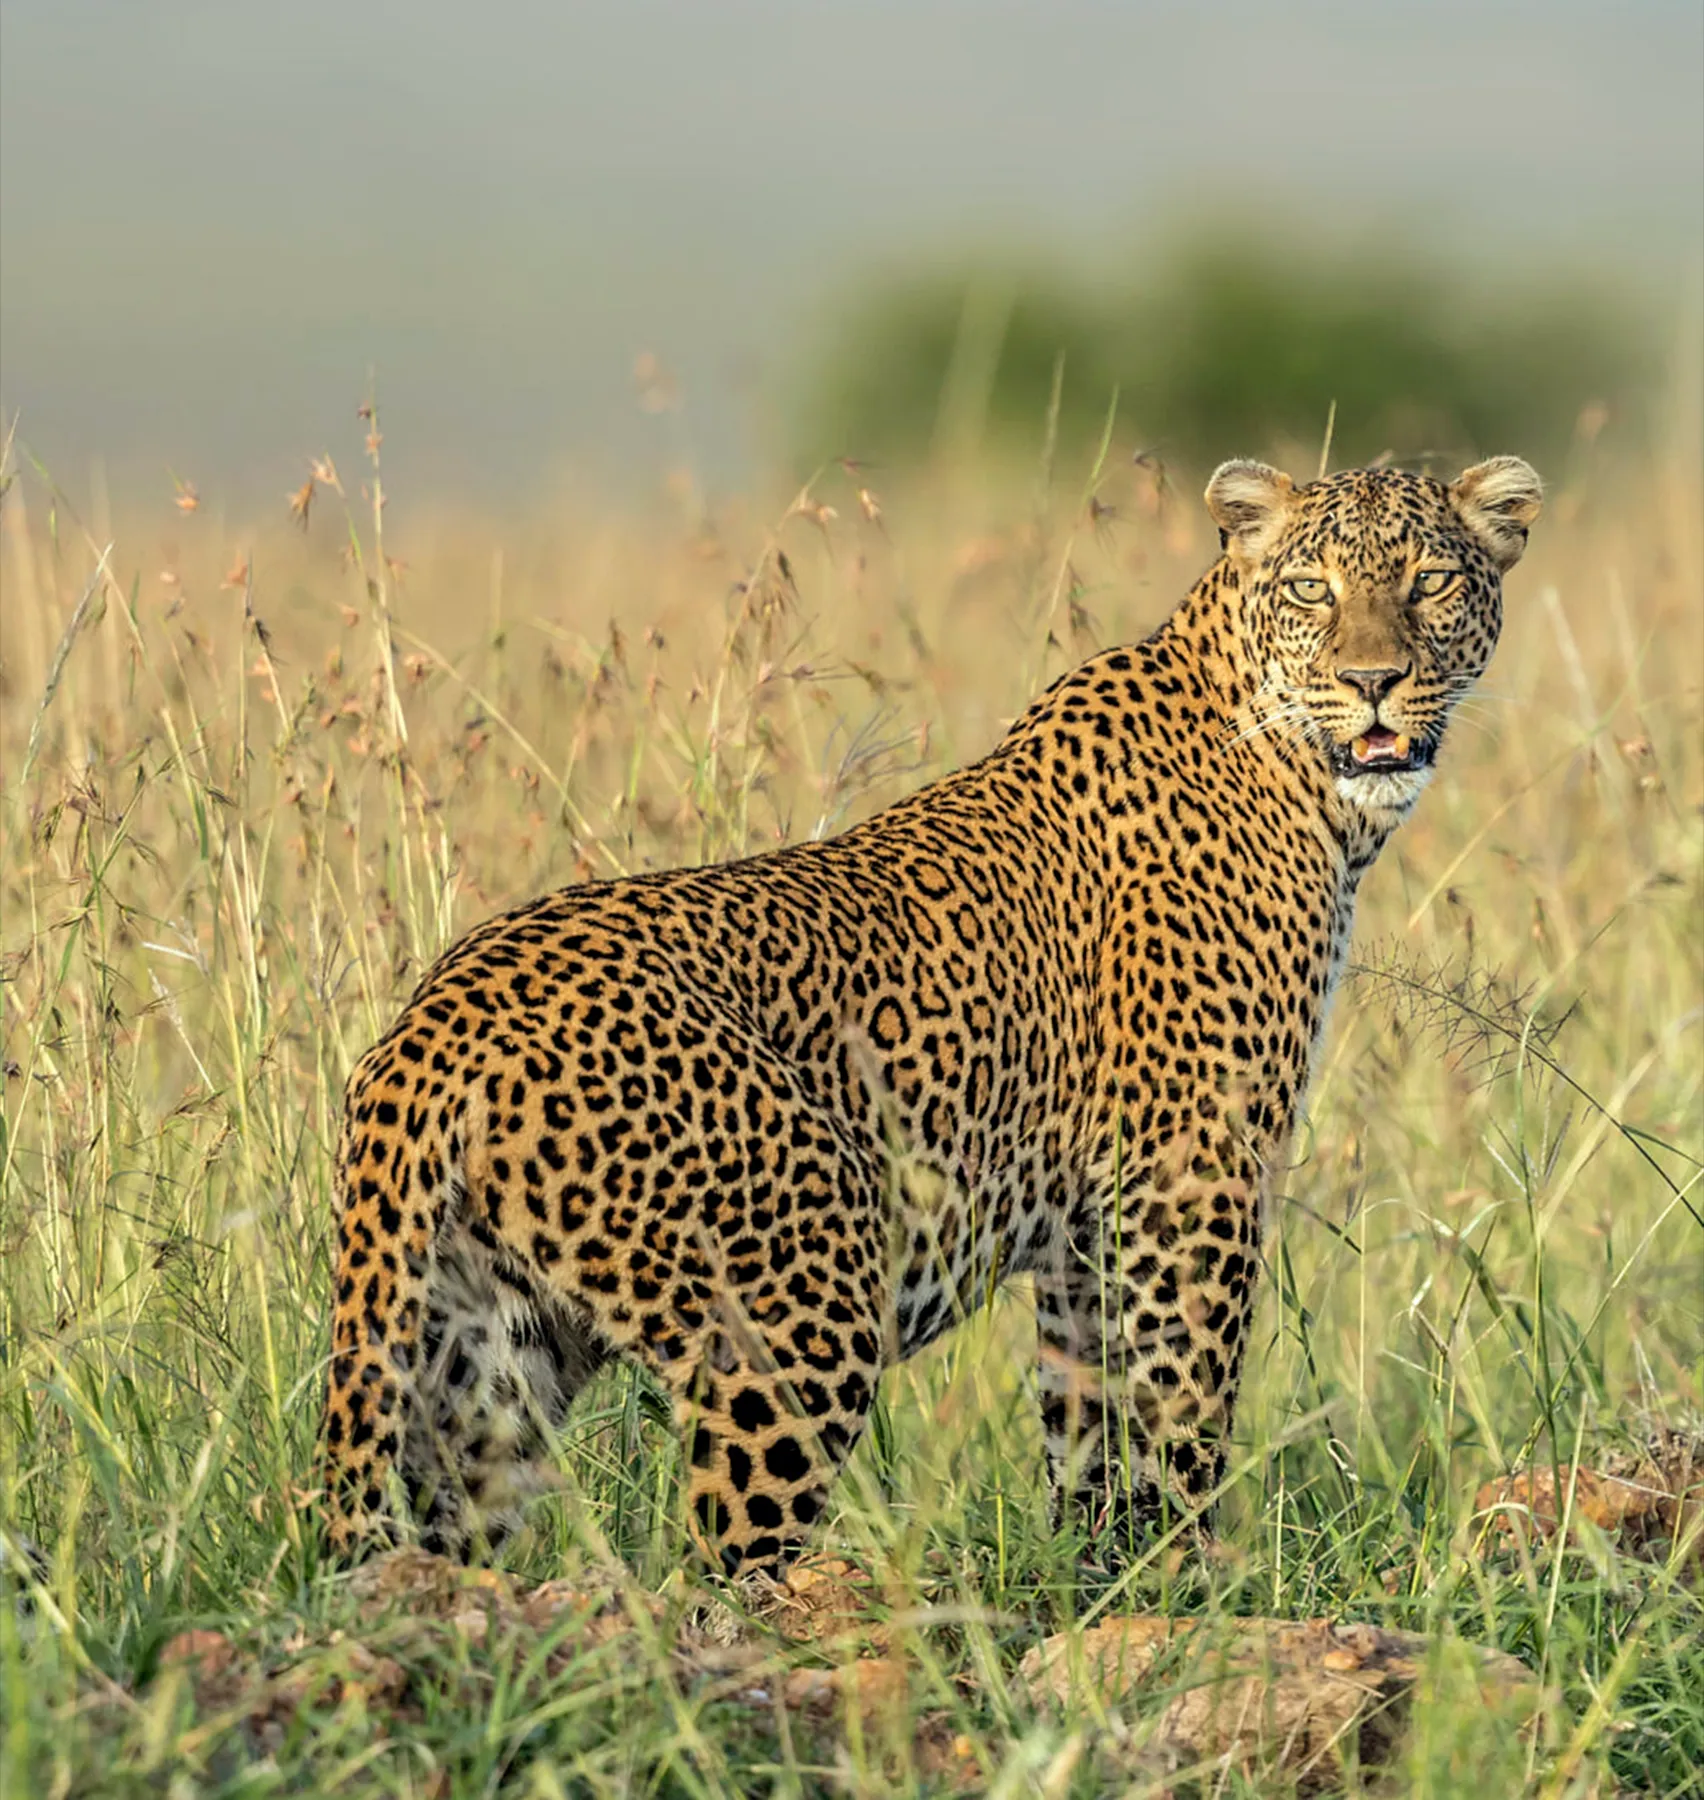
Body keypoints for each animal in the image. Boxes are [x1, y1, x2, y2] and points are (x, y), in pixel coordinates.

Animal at [318, 453, 1542, 1581]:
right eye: (1312, 590)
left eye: (1431, 581)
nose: (1374, 679)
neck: (1314, 791)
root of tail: (435, 1022)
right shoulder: (1193, 1174)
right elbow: (1184, 1396)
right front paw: (1192, 1580)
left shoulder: (1088, 1223)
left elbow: (1088, 1414)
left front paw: (1099, 1571)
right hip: (798, 1300)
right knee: (720, 1566)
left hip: (483, 1354)